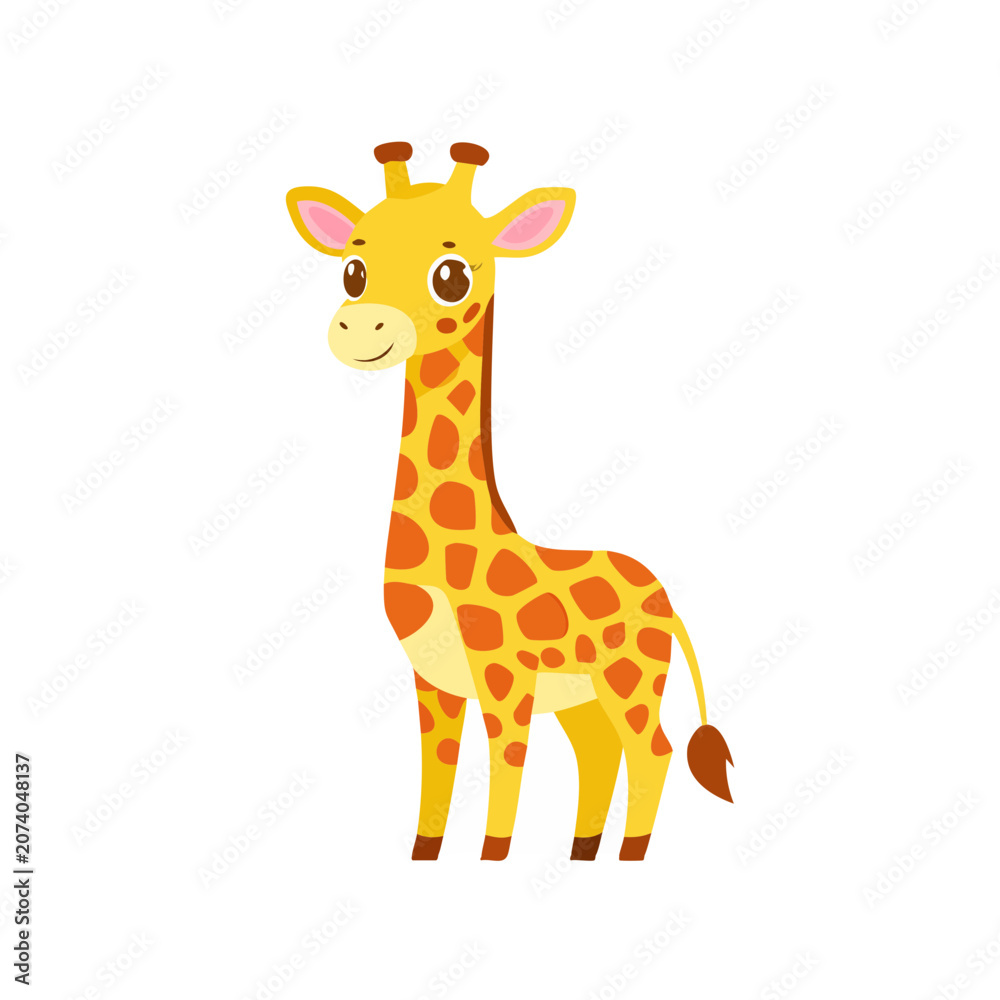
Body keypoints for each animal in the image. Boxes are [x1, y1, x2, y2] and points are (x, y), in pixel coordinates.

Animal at [286, 141, 733, 862]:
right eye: (353, 270)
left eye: (450, 275)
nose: (359, 329)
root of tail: (664, 598)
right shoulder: (434, 682)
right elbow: (436, 779)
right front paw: (425, 857)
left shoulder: (505, 679)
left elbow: (507, 772)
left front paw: (491, 860)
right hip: (583, 697)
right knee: (599, 753)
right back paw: (582, 852)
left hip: (630, 678)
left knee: (653, 751)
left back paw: (628, 857)